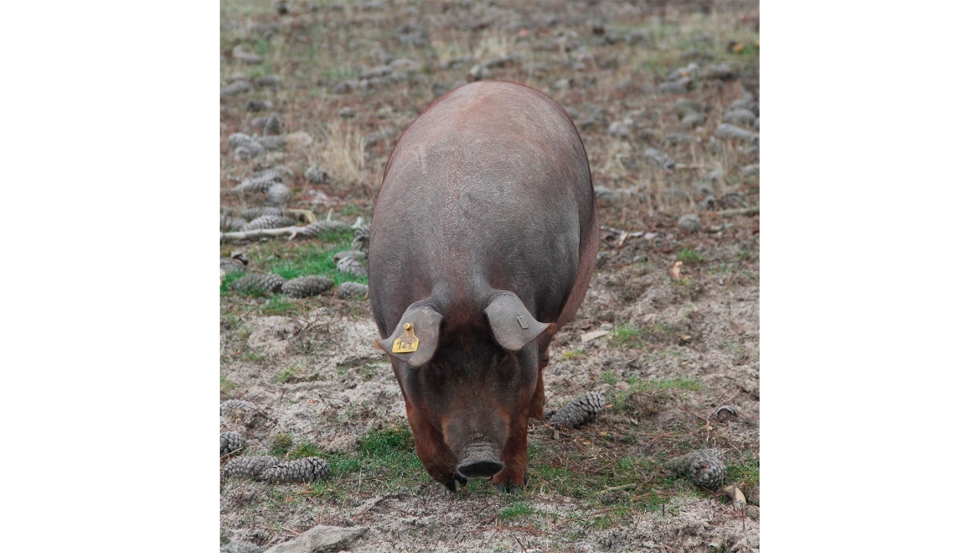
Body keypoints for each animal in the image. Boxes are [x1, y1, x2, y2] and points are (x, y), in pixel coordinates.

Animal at [368, 80, 596, 490]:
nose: (478, 461)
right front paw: (449, 483)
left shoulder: (525, 342)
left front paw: (510, 486)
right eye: (438, 365)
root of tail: (497, 83)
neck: (458, 277)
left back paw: (540, 416)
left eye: (501, 358)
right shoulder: (393, 335)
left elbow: (517, 419)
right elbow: (415, 415)